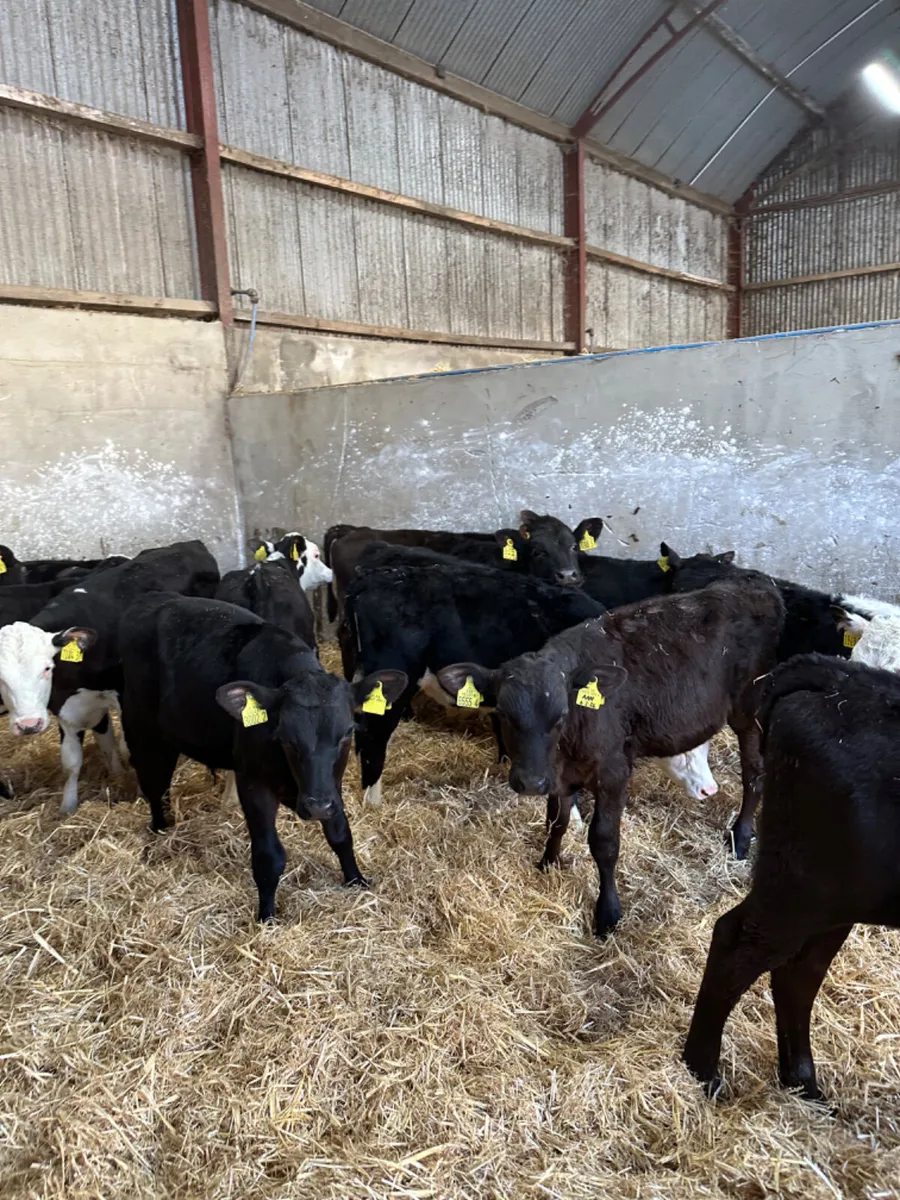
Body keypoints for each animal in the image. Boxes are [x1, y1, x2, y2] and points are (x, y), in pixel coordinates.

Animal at [118, 593, 406, 920]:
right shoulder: (253, 782)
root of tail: (154, 597)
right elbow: (270, 856)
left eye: (347, 732)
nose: (317, 806)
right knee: (155, 782)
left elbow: (341, 833)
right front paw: (267, 916)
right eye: (284, 737)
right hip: (142, 728)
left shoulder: (329, 786)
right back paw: (161, 829)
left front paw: (356, 880)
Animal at [436, 574, 785, 936]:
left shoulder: (613, 772)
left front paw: (607, 912)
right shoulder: (559, 774)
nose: (531, 783)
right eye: (503, 714)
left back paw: (741, 836)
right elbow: (556, 821)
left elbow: (604, 842)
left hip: (749, 709)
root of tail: (755, 582)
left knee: (754, 772)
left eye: (561, 715)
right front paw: (549, 862)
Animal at [683, 653, 900, 1103]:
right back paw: (703, 1072)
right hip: (804, 887)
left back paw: (802, 1081)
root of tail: (835, 677)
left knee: (798, 972)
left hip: (835, 902)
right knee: (739, 945)